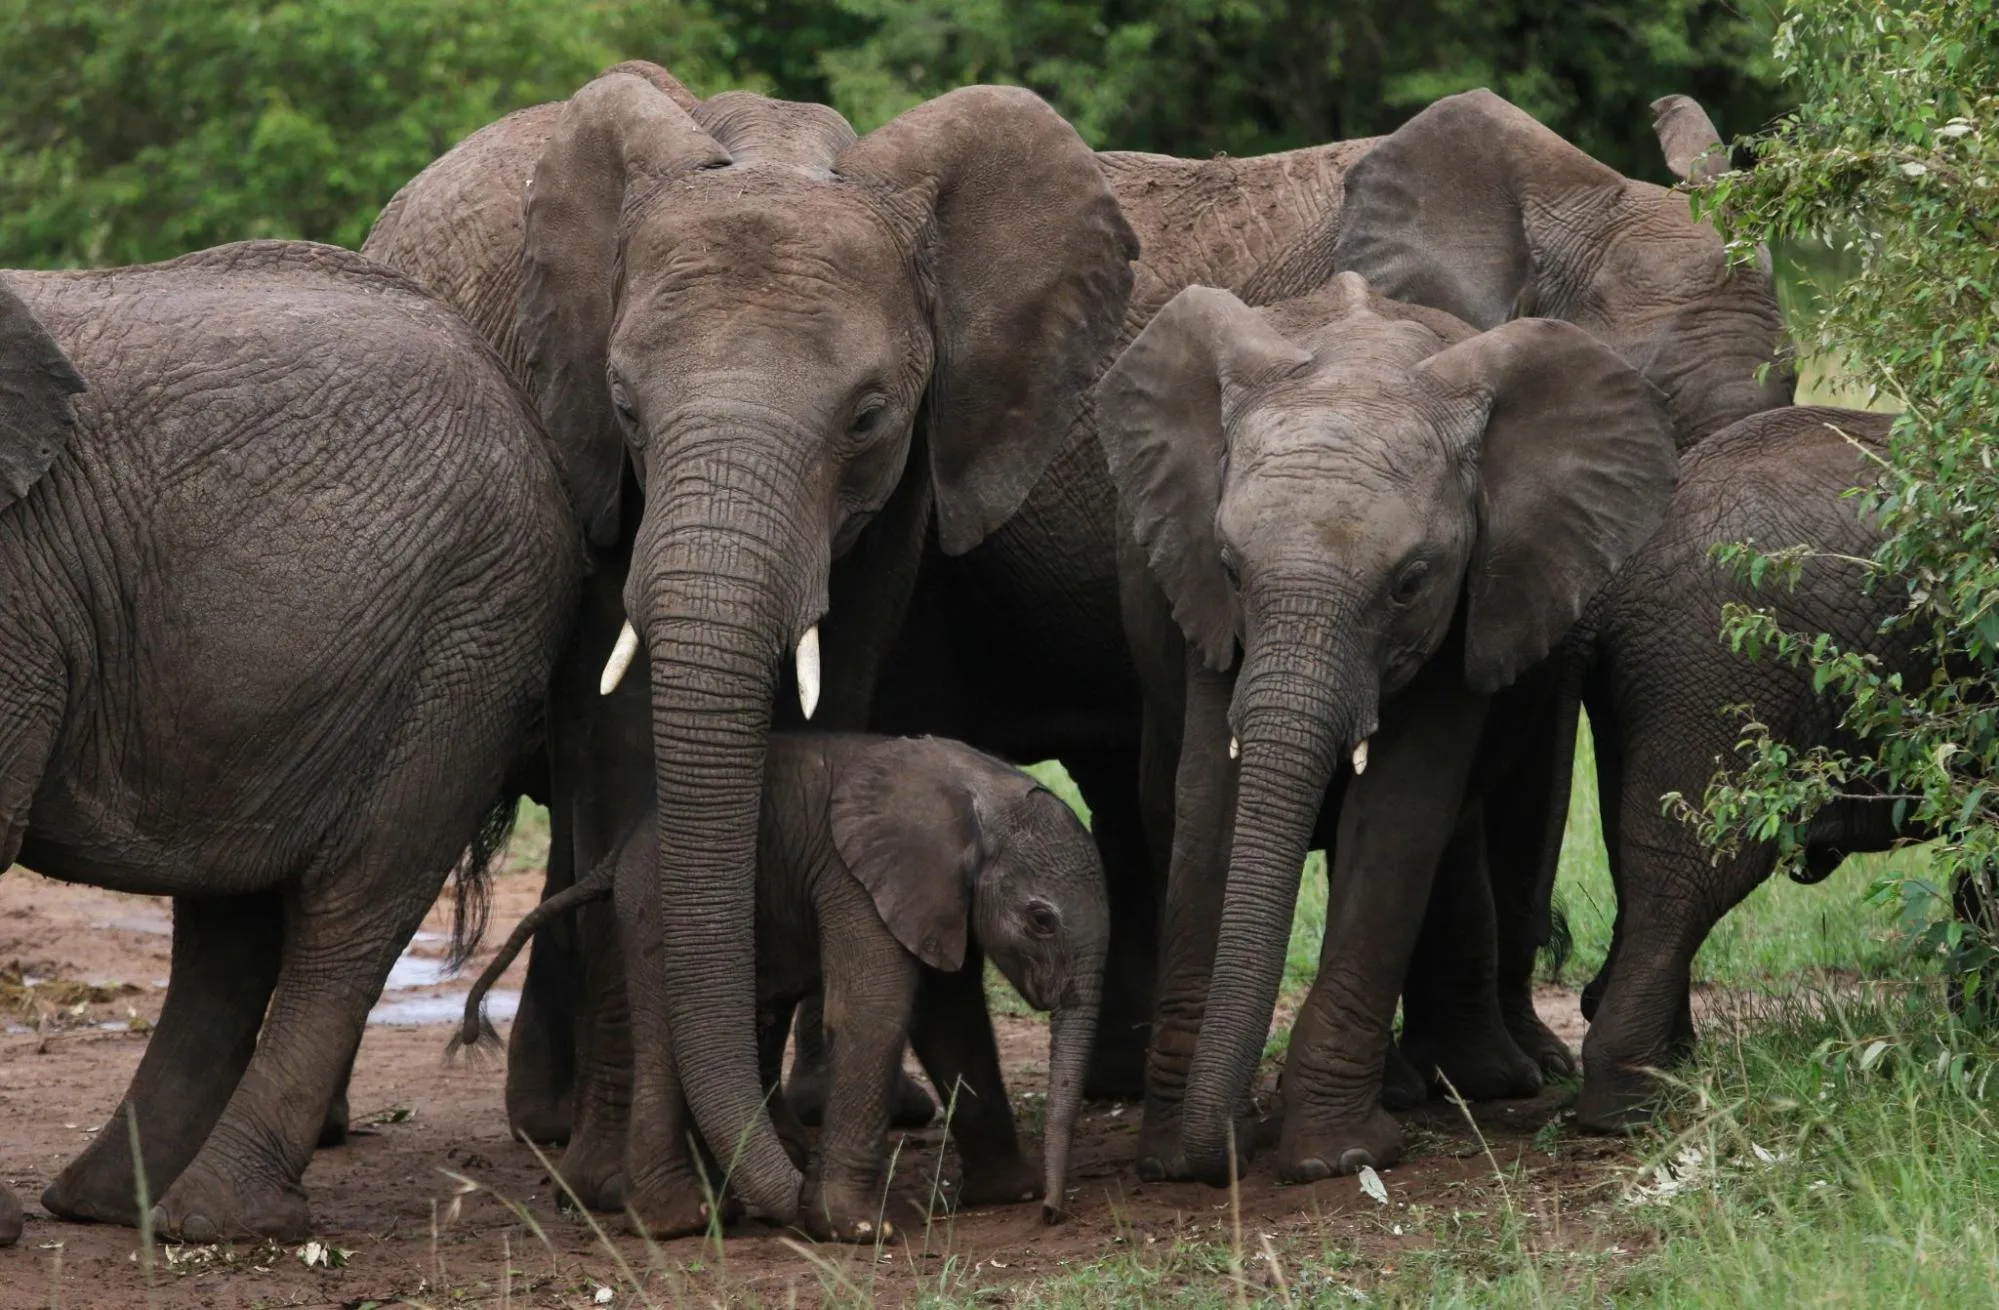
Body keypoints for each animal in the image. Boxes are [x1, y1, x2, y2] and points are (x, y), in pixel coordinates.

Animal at [463, 736, 1111, 1240]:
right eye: (1041, 920)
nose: (1053, 1215)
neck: (986, 791)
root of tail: (623, 846)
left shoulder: (939, 896)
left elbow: (953, 1018)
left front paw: (1012, 1194)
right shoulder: (857, 878)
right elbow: (872, 1012)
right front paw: (859, 1230)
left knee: (753, 1019)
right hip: (653, 900)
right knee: (668, 1033)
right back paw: (686, 1219)